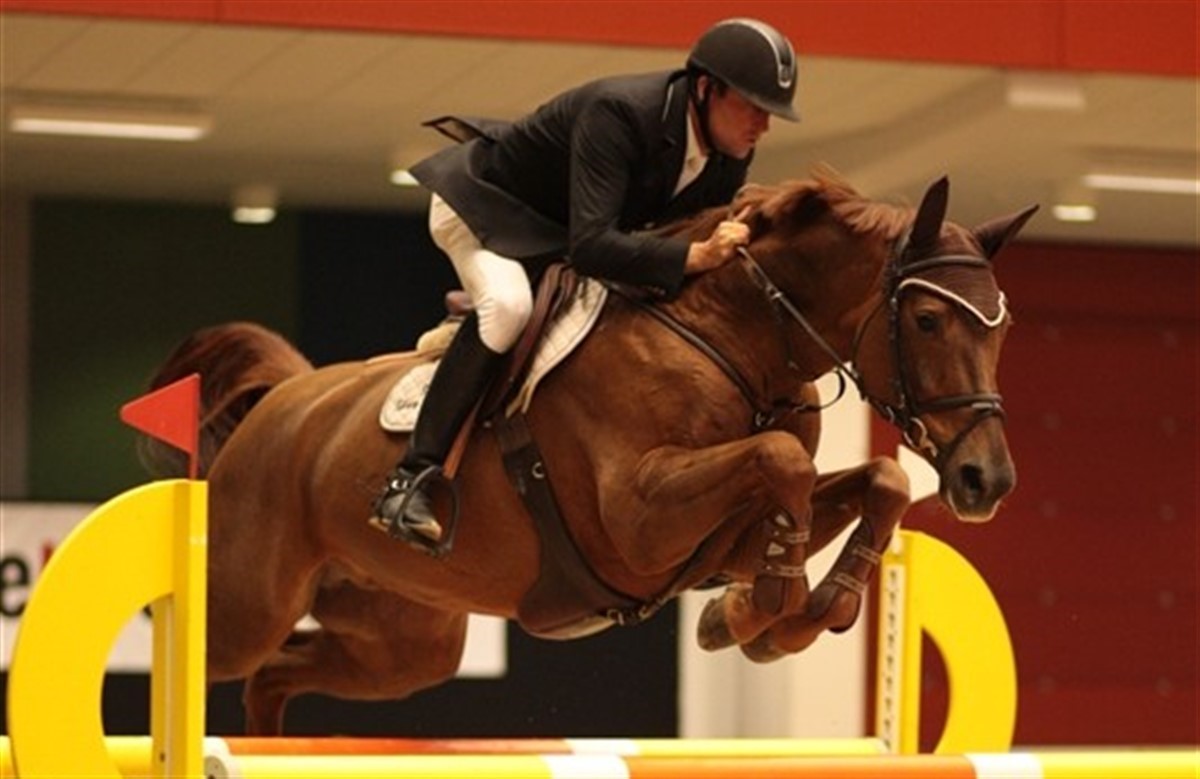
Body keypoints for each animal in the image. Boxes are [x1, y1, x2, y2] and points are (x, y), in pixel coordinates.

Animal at [141, 169, 1037, 734]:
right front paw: (765, 611)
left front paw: (774, 613)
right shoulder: (639, 519)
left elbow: (875, 478)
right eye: (928, 320)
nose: (984, 479)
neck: (733, 338)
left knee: (275, 675)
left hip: (402, 641)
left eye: (1002, 328)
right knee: (205, 653)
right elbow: (780, 458)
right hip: (248, 604)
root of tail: (285, 400)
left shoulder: (728, 530)